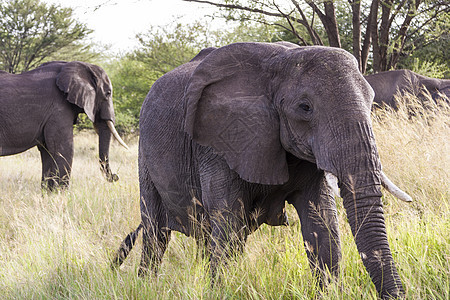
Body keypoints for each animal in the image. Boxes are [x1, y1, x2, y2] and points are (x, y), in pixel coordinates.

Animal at [0, 60, 128, 190]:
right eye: (108, 93)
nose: (116, 176)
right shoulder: (58, 109)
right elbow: (64, 148)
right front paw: (61, 193)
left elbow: (47, 151)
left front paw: (49, 193)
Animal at [112, 42, 412, 298]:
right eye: (305, 107)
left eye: (371, 104)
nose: (397, 295)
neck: (282, 62)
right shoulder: (218, 141)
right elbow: (229, 223)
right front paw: (221, 291)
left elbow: (323, 224)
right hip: (144, 155)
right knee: (156, 233)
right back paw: (146, 286)